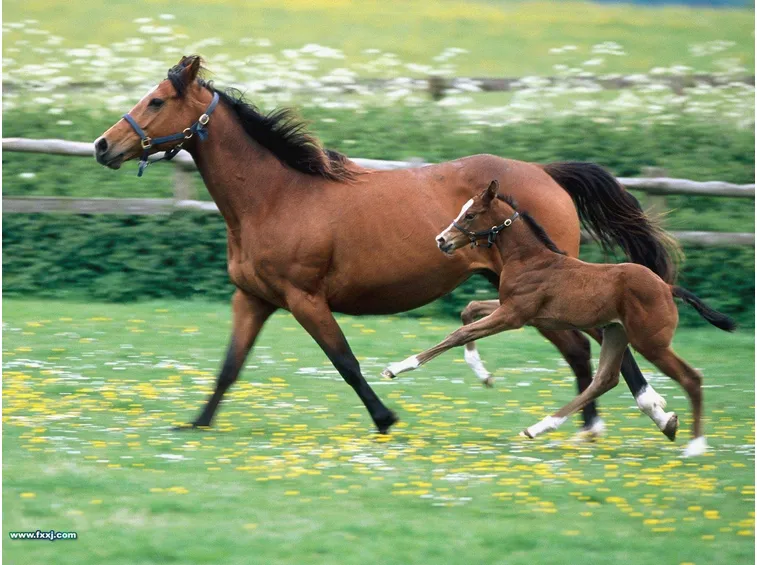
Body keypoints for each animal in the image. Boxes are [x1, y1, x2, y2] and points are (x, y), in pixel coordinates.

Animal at [93, 55, 681, 436]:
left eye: (156, 101)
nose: (103, 146)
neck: (277, 196)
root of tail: (545, 173)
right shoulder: (253, 299)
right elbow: (229, 367)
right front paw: (195, 423)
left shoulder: (305, 298)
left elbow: (346, 361)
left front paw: (386, 417)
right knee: (584, 349)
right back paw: (593, 426)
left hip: (545, 288)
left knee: (597, 346)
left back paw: (645, 414)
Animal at [382, 180, 735, 456]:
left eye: (469, 214)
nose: (442, 240)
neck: (529, 258)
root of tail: (666, 286)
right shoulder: (515, 310)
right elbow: (469, 311)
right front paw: (482, 372)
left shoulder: (513, 315)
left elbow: (458, 334)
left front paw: (397, 368)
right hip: (616, 333)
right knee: (604, 380)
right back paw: (540, 427)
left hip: (650, 342)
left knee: (691, 378)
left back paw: (695, 446)